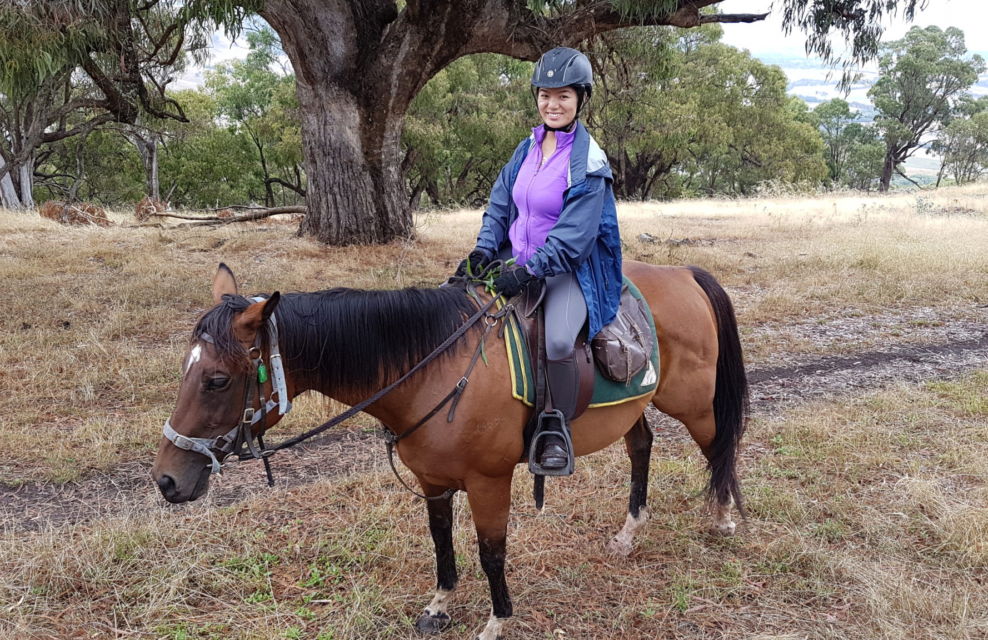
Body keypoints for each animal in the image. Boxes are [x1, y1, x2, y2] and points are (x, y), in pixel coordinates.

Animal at [151, 261, 748, 640]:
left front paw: (497, 621)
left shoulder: (489, 482)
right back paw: (630, 533)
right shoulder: (433, 481)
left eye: (218, 380)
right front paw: (440, 605)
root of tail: (683, 274)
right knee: (642, 447)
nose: (166, 480)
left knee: (721, 445)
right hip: (635, 406)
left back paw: (723, 516)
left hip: (692, 403)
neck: (433, 369)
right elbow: (441, 543)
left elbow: (491, 552)